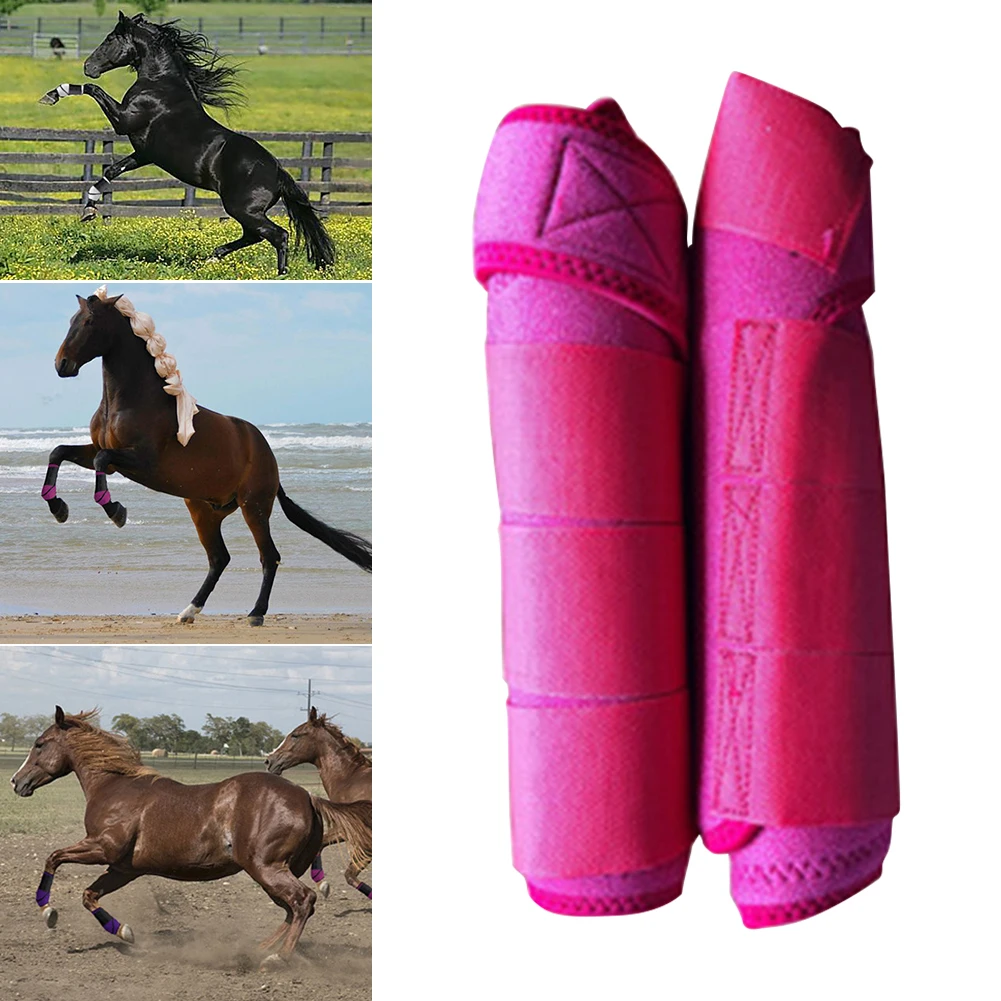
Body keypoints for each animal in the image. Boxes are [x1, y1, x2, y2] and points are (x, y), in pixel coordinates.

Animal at [38, 11, 334, 275]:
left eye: (110, 38)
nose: (88, 67)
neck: (160, 84)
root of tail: (278, 172)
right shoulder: (144, 153)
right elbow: (112, 170)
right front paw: (89, 208)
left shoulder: (124, 121)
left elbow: (93, 90)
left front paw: (53, 94)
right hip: (246, 211)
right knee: (254, 236)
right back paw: (212, 257)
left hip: (242, 209)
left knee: (278, 235)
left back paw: (278, 273)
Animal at [42, 287, 372, 626]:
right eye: (71, 320)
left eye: (89, 322)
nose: (61, 364)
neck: (131, 400)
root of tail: (267, 454)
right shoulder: (102, 453)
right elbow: (60, 451)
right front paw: (58, 508)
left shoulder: (142, 462)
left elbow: (99, 462)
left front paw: (116, 511)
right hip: (204, 509)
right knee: (219, 558)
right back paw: (189, 611)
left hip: (254, 507)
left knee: (269, 556)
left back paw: (256, 613)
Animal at [267, 707, 373, 899]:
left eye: (295, 735)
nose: (269, 760)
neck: (351, 780)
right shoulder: (343, 829)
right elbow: (321, 843)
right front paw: (323, 884)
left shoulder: (364, 841)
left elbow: (350, 875)